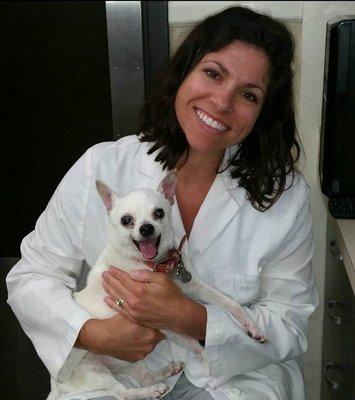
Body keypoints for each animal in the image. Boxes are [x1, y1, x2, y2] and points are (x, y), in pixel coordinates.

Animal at [50, 172, 268, 400]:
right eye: (126, 220)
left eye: (159, 212)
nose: (146, 228)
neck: (158, 264)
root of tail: (56, 386)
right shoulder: (158, 321)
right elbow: (191, 342)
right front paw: (206, 357)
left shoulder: (195, 287)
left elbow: (231, 304)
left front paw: (253, 328)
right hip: (93, 368)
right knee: (121, 393)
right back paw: (152, 390)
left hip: (129, 361)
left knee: (141, 377)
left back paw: (165, 374)